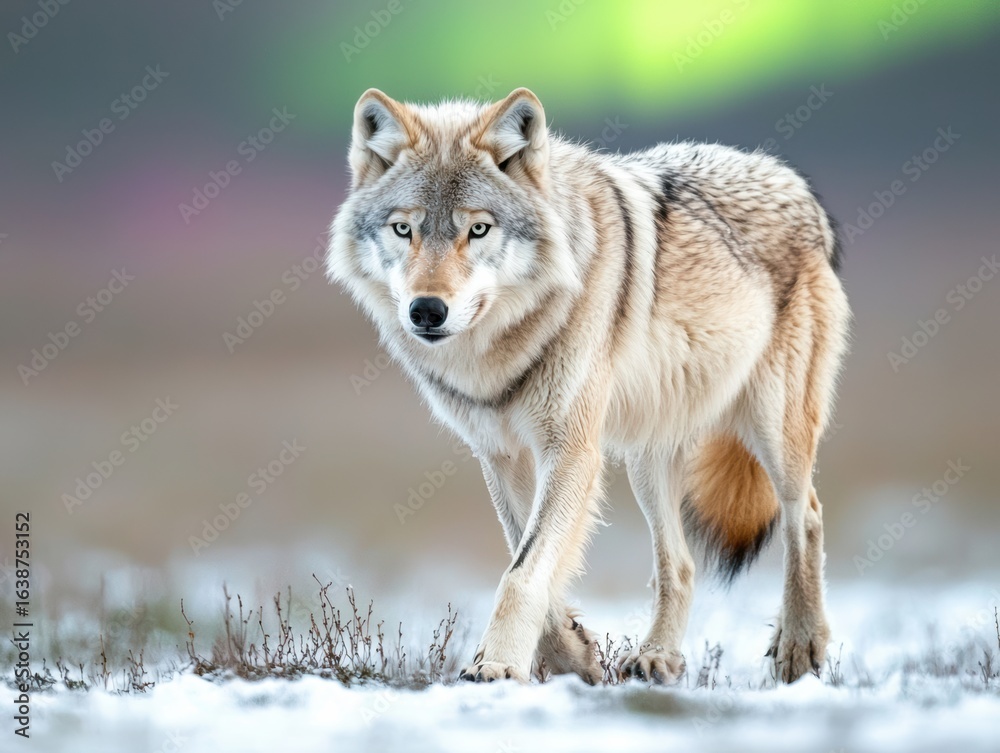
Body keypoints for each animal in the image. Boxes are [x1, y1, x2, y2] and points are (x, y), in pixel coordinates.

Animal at [327, 87, 850, 685]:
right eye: (403, 229)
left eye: (478, 229)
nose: (427, 310)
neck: (498, 351)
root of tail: (793, 180)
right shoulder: (502, 454)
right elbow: (526, 556)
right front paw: (571, 658)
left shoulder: (571, 449)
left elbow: (523, 571)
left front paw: (498, 666)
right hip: (647, 459)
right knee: (680, 564)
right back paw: (658, 657)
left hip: (771, 431)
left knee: (806, 515)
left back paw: (800, 646)